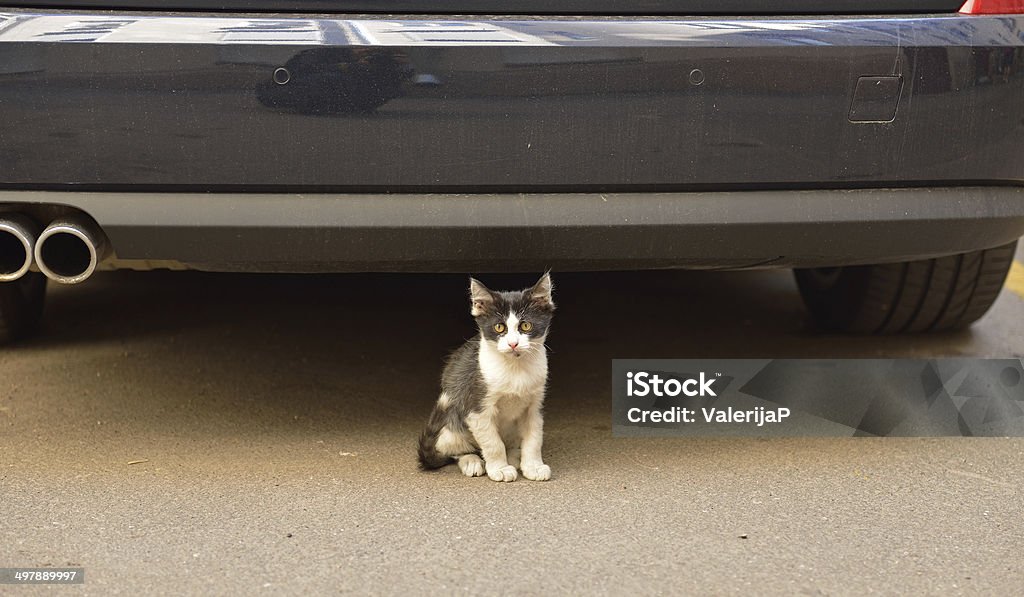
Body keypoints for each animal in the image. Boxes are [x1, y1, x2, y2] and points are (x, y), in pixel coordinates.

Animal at [417, 272, 557, 483]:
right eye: (499, 328)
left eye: (525, 325)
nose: (513, 343)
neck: (515, 368)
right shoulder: (476, 407)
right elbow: (493, 443)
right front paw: (500, 468)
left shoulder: (534, 406)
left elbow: (534, 438)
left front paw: (533, 466)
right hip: (451, 419)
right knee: (453, 449)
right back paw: (472, 460)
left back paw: (514, 456)